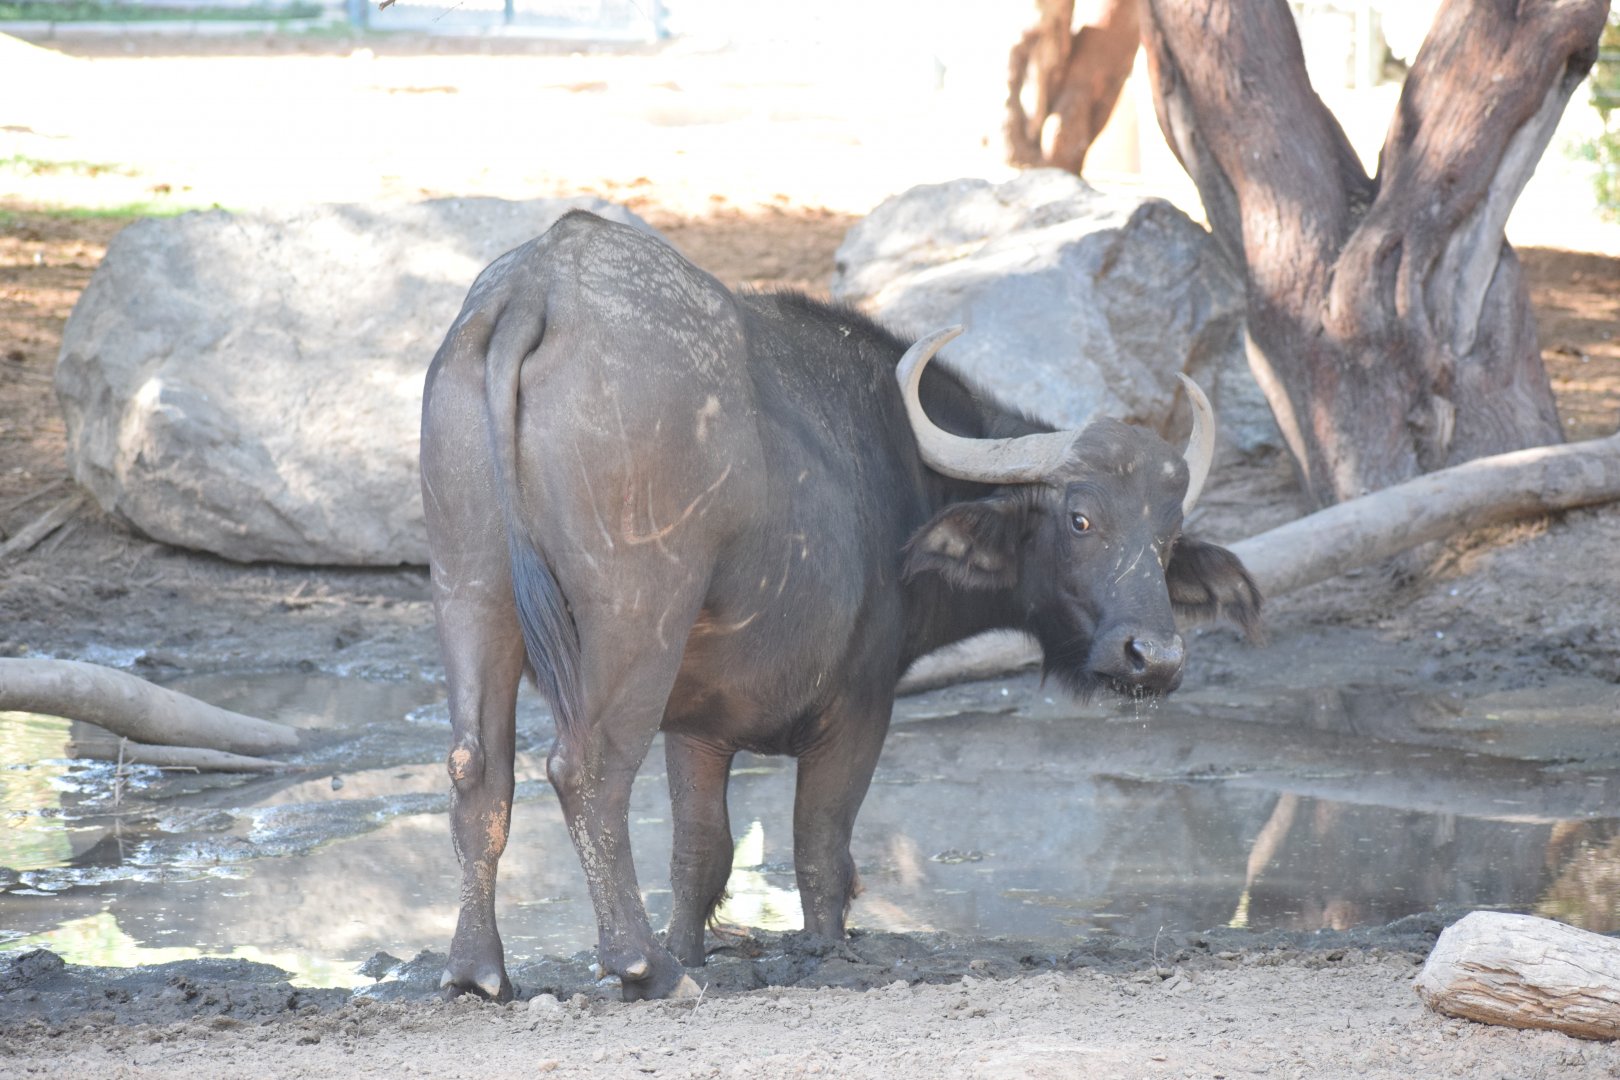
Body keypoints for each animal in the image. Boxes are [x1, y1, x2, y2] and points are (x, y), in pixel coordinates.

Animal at [420, 211, 1259, 1001]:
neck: (899, 468)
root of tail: (541, 286)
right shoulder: (858, 704)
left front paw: (692, 946)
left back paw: (478, 971)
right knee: (587, 768)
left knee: (477, 768)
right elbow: (821, 845)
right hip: (633, 618)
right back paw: (640, 966)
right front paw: (813, 948)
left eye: (1168, 534)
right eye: (1080, 519)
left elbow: (701, 853)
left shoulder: (697, 728)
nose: (1155, 657)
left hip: (469, 590)